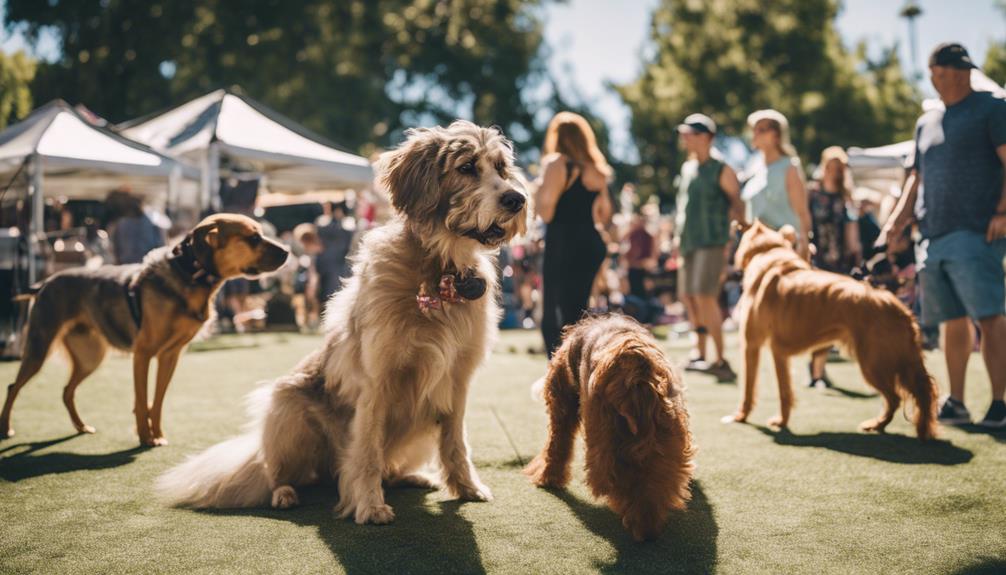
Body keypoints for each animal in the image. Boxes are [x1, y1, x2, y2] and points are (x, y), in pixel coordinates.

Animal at [0, 214, 291, 444]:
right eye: (253, 238)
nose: (288, 251)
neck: (190, 275)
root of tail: (44, 283)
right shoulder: (143, 354)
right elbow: (141, 400)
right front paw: (144, 437)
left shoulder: (170, 356)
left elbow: (157, 401)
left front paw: (157, 434)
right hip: (39, 346)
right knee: (14, 386)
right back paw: (6, 429)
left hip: (90, 356)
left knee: (66, 391)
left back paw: (81, 426)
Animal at [154, 122, 527, 526]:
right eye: (467, 167)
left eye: (501, 167)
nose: (518, 200)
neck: (439, 271)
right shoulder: (377, 381)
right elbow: (367, 451)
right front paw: (369, 505)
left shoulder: (457, 379)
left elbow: (456, 441)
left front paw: (467, 487)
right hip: (287, 408)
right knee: (277, 471)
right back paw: (284, 493)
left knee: (386, 466)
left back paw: (412, 476)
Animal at [523, 311, 696, 542]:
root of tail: (639, 377)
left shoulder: (562, 408)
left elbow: (556, 449)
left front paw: (548, 479)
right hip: (666, 443)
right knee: (651, 489)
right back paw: (647, 528)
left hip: (603, 442)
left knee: (618, 483)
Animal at [728, 222, 937, 438]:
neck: (769, 252)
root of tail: (898, 307)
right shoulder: (780, 353)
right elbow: (785, 393)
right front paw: (782, 421)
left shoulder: (751, 345)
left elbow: (748, 389)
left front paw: (742, 416)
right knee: (912, 394)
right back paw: (887, 426)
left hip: (874, 364)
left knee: (896, 397)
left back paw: (881, 425)